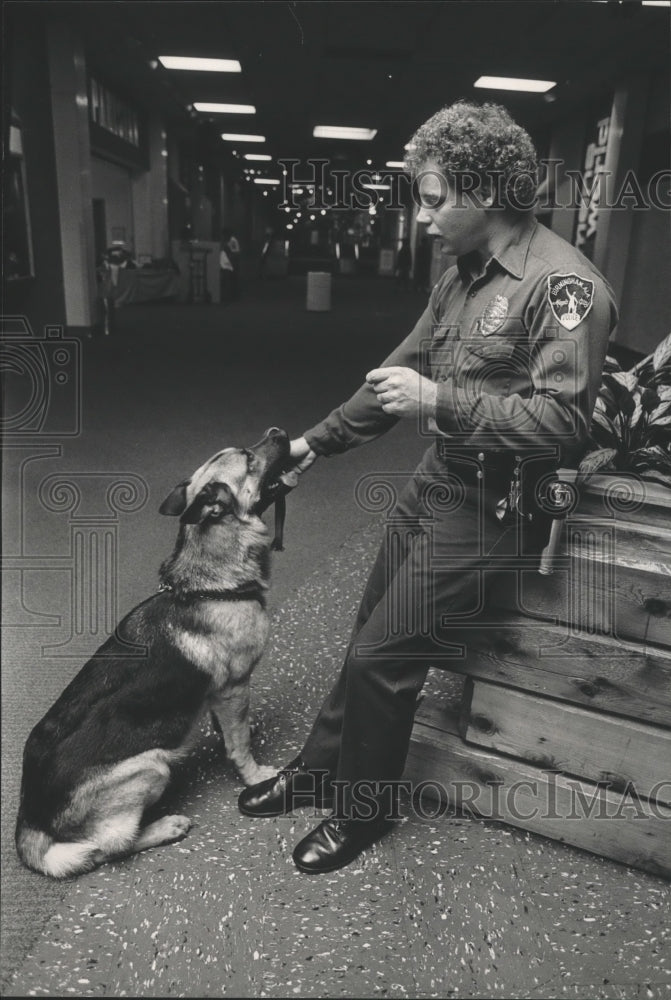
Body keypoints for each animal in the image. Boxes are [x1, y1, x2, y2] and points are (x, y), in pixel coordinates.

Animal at [15, 426, 292, 880]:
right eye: (249, 458)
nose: (278, 431)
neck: (208, 585)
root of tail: (31, 820)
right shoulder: (234, 686)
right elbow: (238, 747)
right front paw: (254, 775)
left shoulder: (219, 694)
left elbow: (229, 728)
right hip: (152, 767)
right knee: (109, 848)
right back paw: (166, 826)